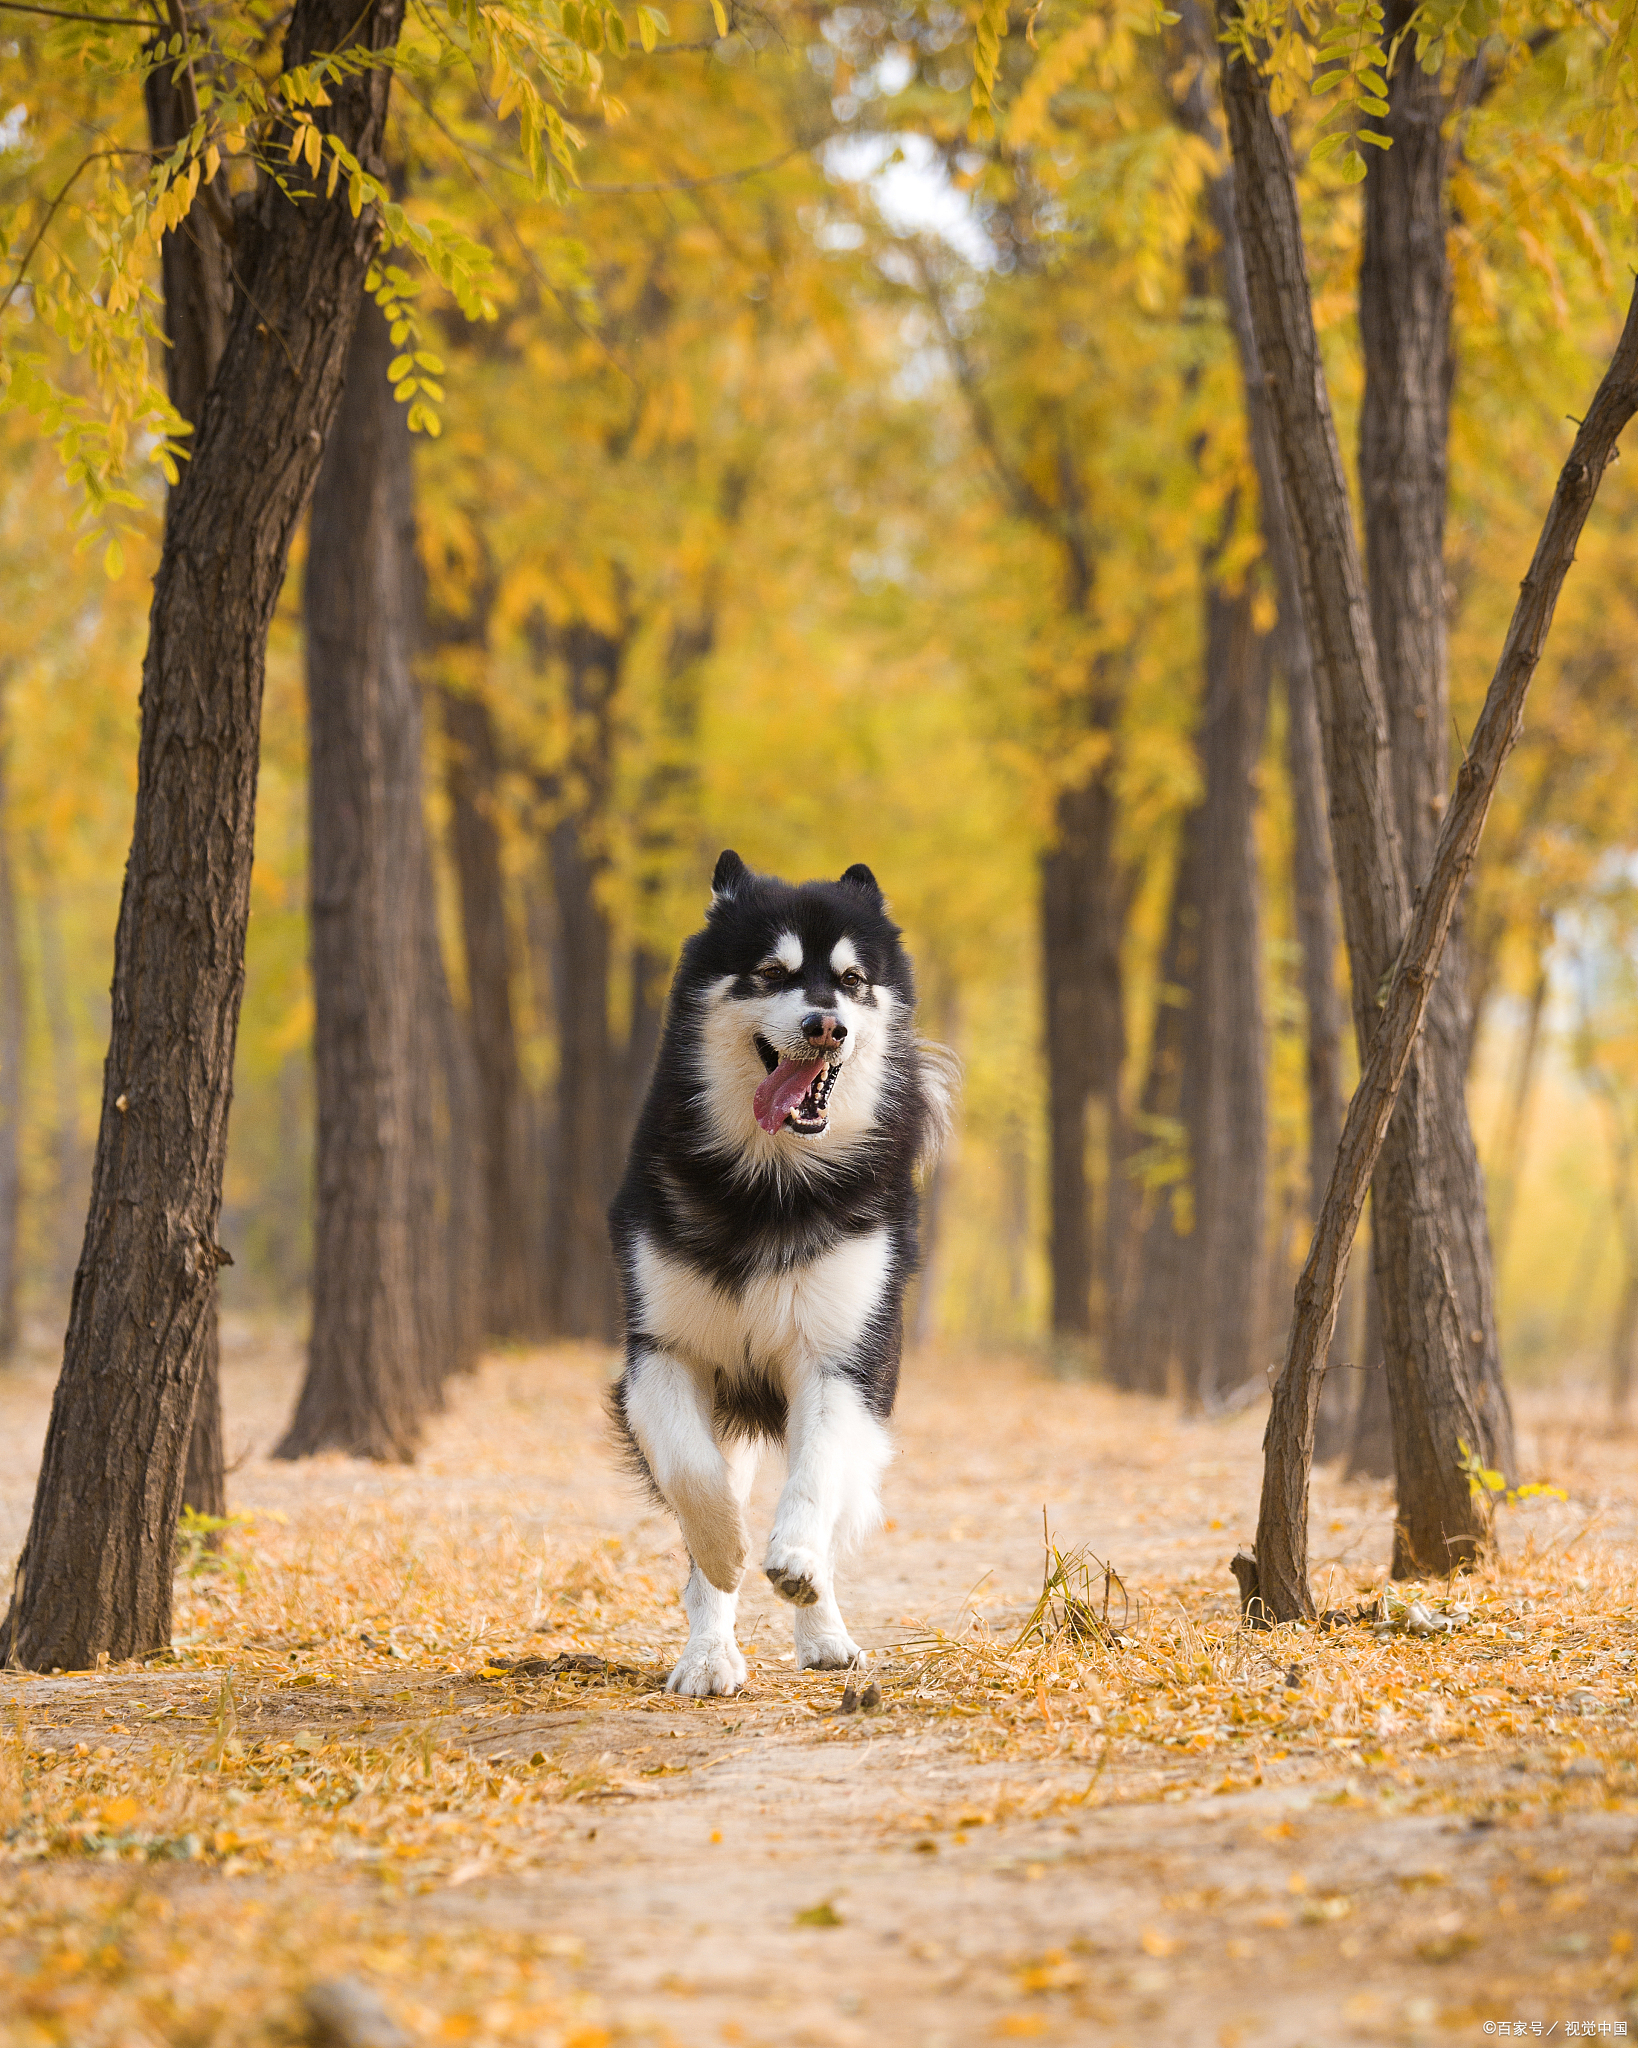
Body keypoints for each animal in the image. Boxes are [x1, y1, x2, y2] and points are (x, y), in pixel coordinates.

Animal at [606, 847, 954, 1695]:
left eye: (854, 981)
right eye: (771, 972)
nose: (826, 1025)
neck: (770, 1184)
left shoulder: (841, 1358)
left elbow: (815, 1477)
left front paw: (794, 1558)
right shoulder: (662, 1351)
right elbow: (695, 1480)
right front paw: (726, 1549)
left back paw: (823, 1629)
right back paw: (710, 1654)